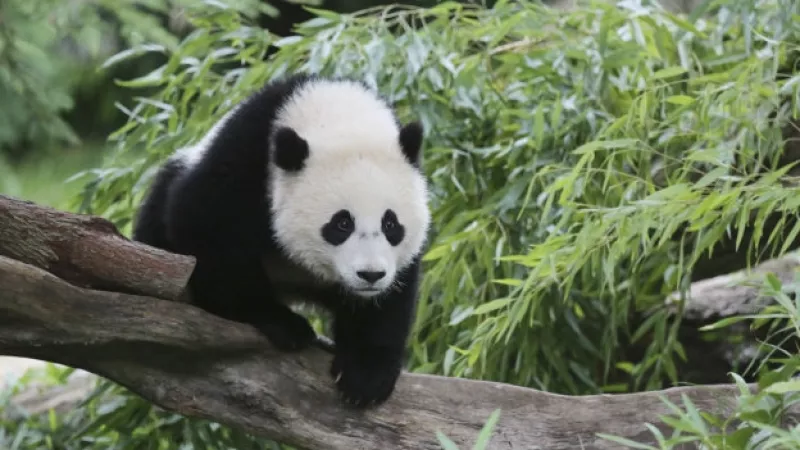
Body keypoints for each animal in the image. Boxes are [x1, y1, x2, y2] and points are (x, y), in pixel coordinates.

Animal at [131, 73, 431, 408]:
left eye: (390, 223)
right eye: (342, 223)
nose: (370, 275)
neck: (334, 112)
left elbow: (389, 300)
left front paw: (365, 377)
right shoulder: (243, 159)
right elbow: (206, 231)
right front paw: (280, 322)